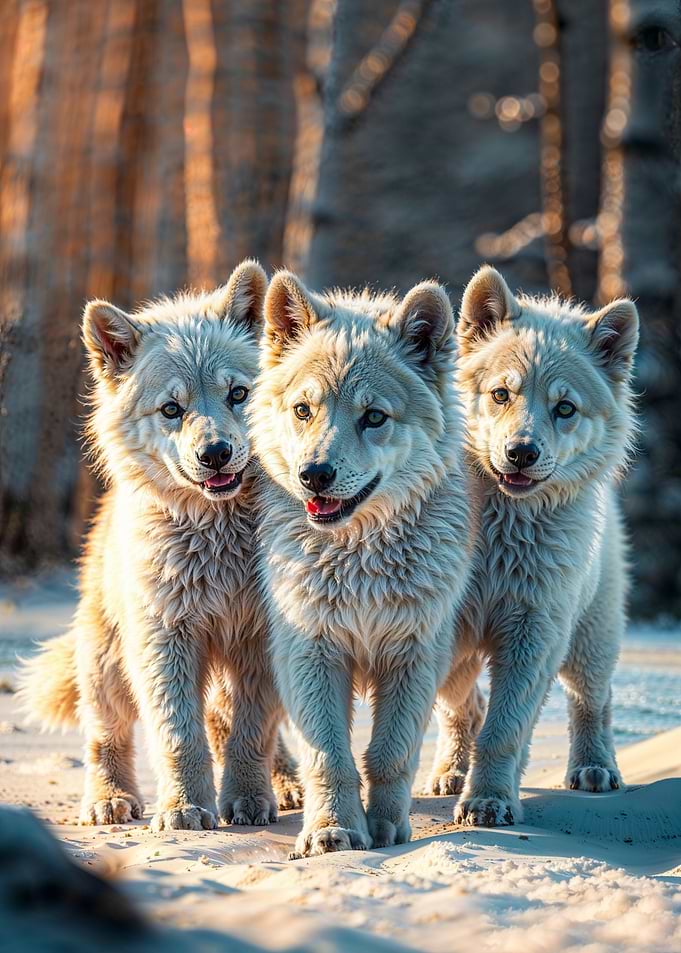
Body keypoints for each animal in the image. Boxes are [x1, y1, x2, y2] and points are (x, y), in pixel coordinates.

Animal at [19, 261, 300, 830]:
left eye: (238, 394)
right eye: (172, 409)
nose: (215, 453)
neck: (219, 540)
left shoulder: (259, 641)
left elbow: (250, 731)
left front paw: (246, 798)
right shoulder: (164, 638)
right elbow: (178, 735)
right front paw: (187, 807)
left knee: (241, 725)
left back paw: (284, 785)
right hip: (107, 663)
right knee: (106, 735)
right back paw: (109, 800)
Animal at [249, 271, 476, 857]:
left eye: (374, 417)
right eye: (303, 410)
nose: (314, 475)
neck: (359, 566)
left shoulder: (412, 655)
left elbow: (390, 754)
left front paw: (387, 829)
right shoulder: (311, 653)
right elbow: (329, 755)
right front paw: (332, 831)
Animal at [428, 265, 638, 826]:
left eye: (564, 408)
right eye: (501, 394)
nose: (521, 452)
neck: (501, 532)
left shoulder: (535, 630)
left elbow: (505, 731)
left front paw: (489, 800)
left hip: (588, 638)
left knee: (595, 699)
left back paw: (594, 767)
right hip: (460, 655)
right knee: (463, 706)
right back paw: (449, 771)